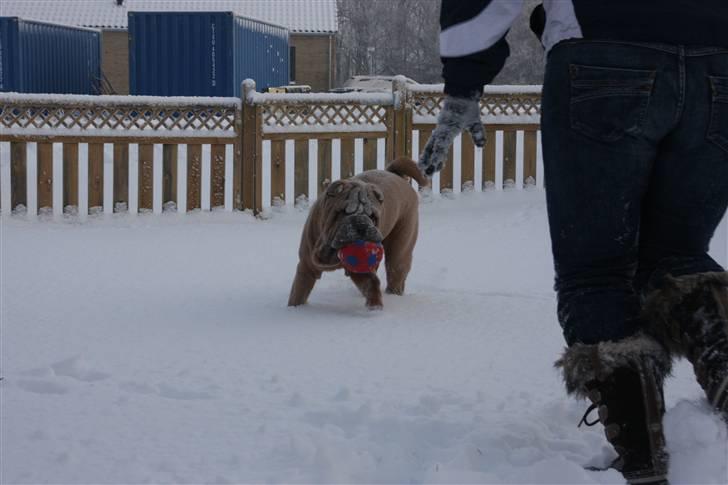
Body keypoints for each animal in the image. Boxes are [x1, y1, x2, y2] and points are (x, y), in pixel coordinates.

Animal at [288, 159, 430, 310]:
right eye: (344, 212)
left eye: (373, 216)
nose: (361, 222)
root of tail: (395, 174)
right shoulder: (306, 267)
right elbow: (298, 293)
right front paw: (294, 309)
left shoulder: (362, 270)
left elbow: (372, 285)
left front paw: (375, 309)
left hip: (400, 247)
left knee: (395, 271)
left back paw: (394, 295)